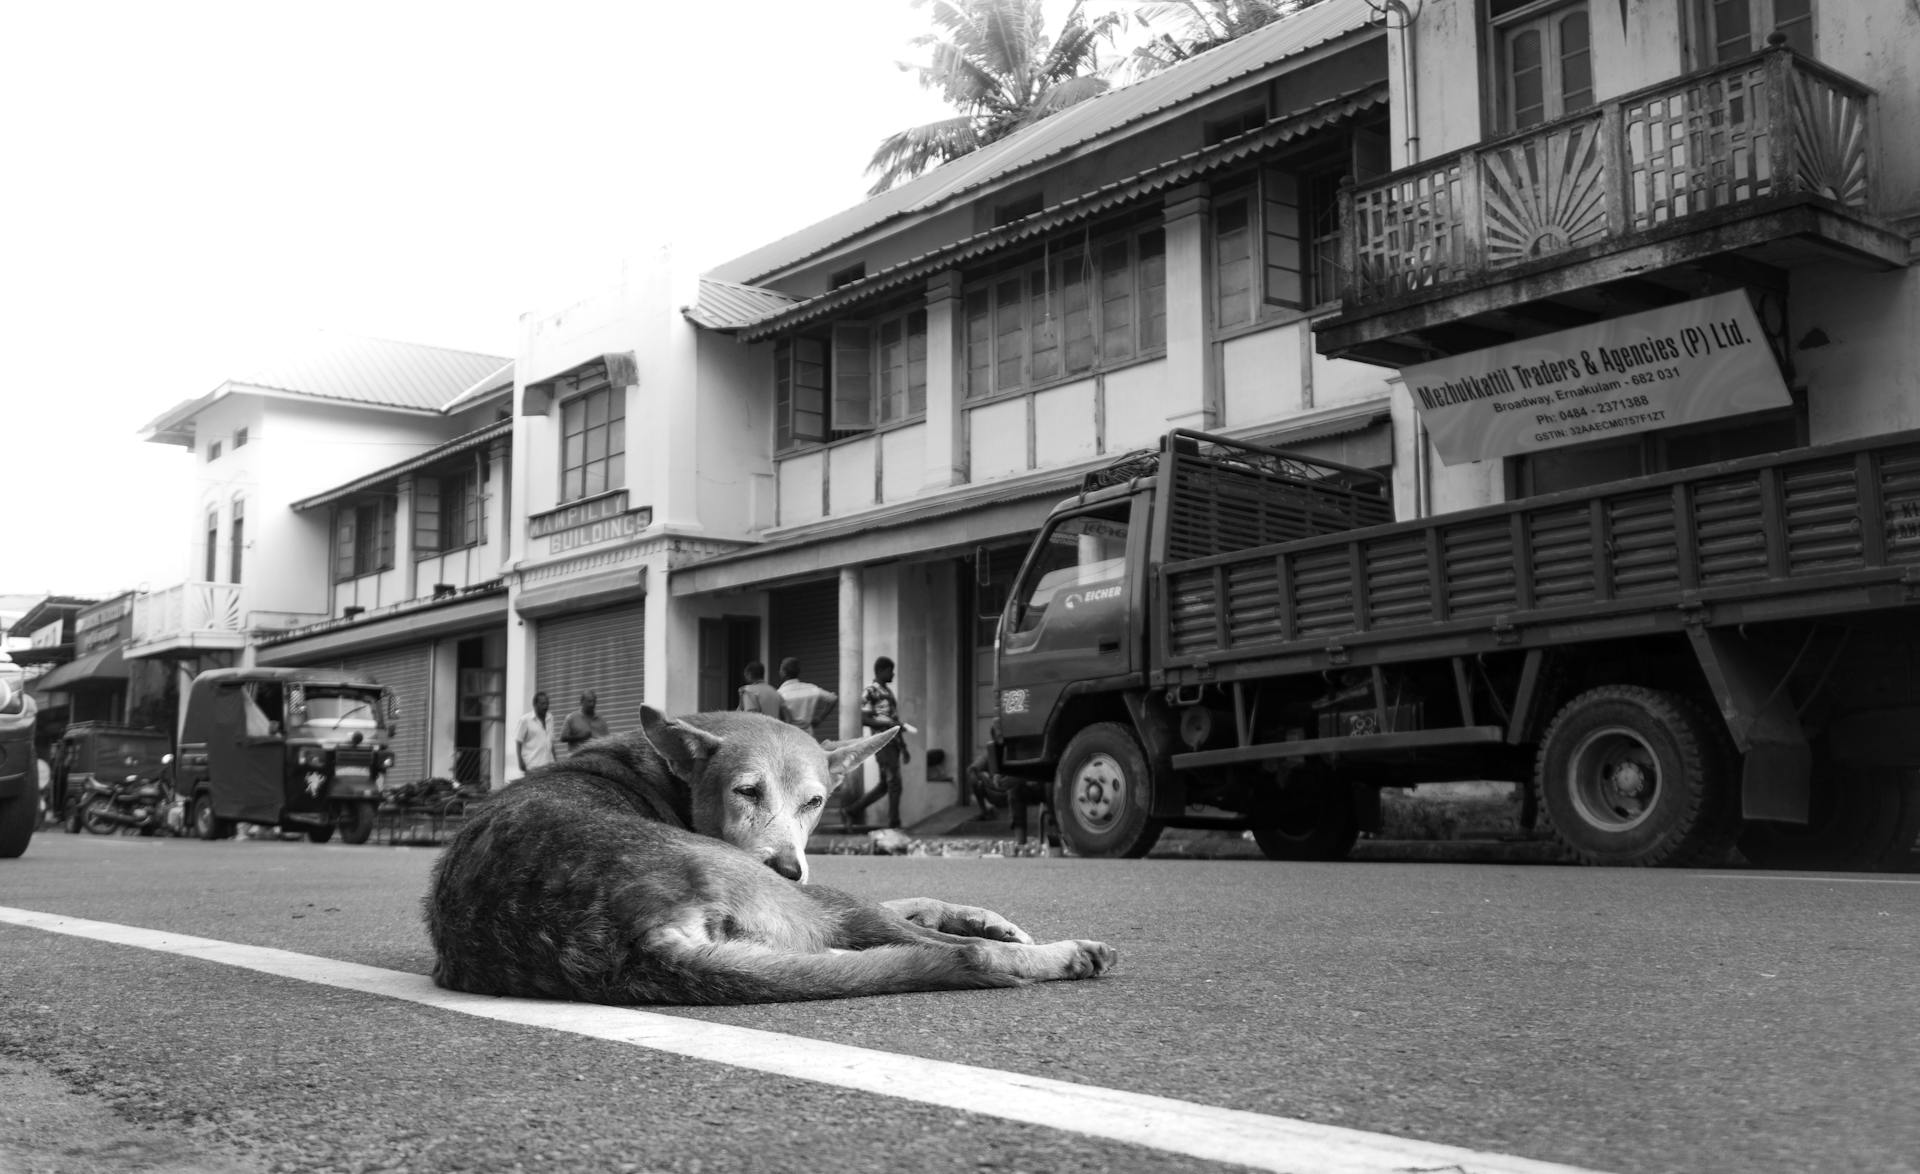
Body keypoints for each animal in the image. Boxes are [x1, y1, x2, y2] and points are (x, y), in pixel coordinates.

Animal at [420, 703, 1113, 1006]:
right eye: (746, 791)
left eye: (815, 802)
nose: (785, 864)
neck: (668, 776)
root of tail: (634, 939)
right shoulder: (809, 892)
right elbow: (922, 914)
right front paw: (993, 930)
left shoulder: (807, 888)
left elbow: (919, 897)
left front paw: (987, 916)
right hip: (815, 903)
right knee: (962, 956)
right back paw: (1066, 954)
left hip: (803, 912)